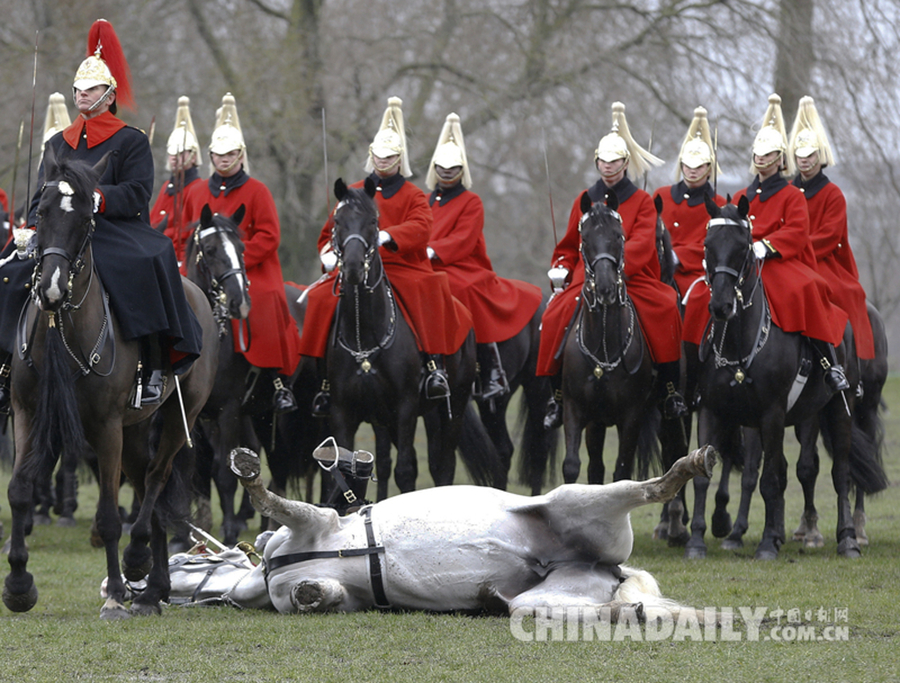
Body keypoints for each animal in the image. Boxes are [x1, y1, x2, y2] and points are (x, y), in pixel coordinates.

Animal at [3, 147, 218, 616]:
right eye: (40, 212)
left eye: (87, 217)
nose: (51, 289)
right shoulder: (28, 415)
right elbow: (20, 490)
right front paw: (18, 584)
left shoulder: (104, 427)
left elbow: (106, 514)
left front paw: (117, 593)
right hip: (134, 430)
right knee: (146, 488)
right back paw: (154, 590)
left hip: (177, 418)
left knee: (155, 480)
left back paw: (138, 565)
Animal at [167, 440, 716, 624]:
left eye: (183, 558)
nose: (118, 583)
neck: (266, 573)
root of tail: (612, 569)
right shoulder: (340, 595)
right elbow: (321, 595)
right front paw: (308, 593)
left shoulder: (314, 522)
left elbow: (270, 500)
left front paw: (247, 470)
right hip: (552, 594)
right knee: (544, 609)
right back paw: (627, 611)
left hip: (574, 500)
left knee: (651, 488)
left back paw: (691, 464)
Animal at [560, 194, 664, 486]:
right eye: (584, 239)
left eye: (619, 236)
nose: (605, 288)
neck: (603, 349)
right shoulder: (575, 409)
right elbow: (572, 466)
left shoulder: (631, 416)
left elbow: (622, 470)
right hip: (596, 423)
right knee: (595, 468)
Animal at [688, 196, 864, 560]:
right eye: (708, 245)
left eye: (743, 247)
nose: (721, 306)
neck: (740, 340)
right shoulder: (712, 410)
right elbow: (702, 476)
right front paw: (696, 541)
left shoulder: (771, 412)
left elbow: (769, 480)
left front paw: (767, 544)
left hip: (838, 409)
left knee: (840, 472)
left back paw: (847, 539)